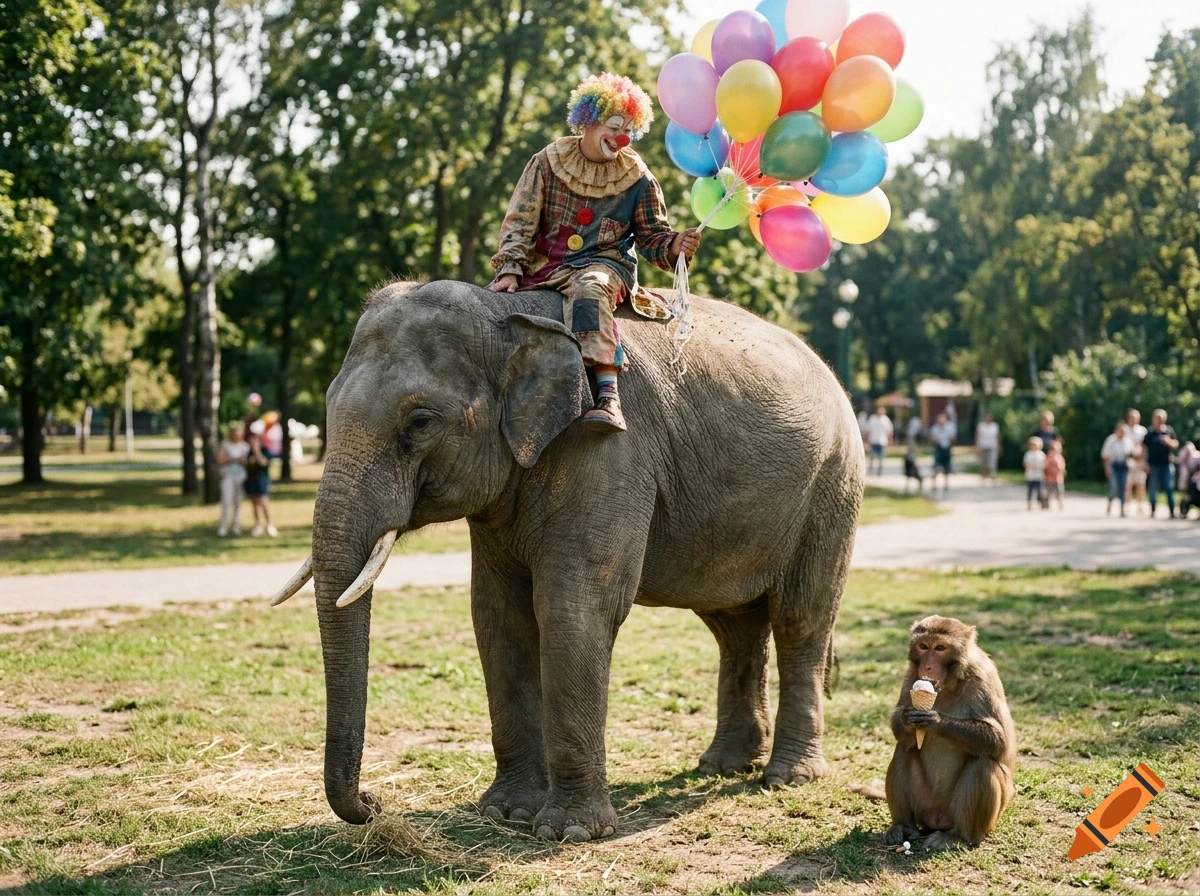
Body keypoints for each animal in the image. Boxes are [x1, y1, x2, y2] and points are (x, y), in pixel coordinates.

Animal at [272, 278, 864, 842]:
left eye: (419, 422)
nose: (374, 804)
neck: (506, 317)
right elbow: (498, 617)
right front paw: (506, 812)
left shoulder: (607, 448)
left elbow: (574, 610)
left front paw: (570, 832)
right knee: (734, 626)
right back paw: (723, 766)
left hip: (832, 490)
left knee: (801, 619)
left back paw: (788, 777)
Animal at [884, 615, 1016, 850]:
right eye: (923, 646)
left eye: (940, 648)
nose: (927, 666)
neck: (948, 683)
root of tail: (937, 818)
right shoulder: (911, 676)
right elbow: (903, 733)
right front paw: (908, 718)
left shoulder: (982, 676)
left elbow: (999, 740)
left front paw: (935, 720)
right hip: (925, 806)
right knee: (903, 750)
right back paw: (904, 827)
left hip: (975, 818)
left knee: (982, 762)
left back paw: (959, 837)